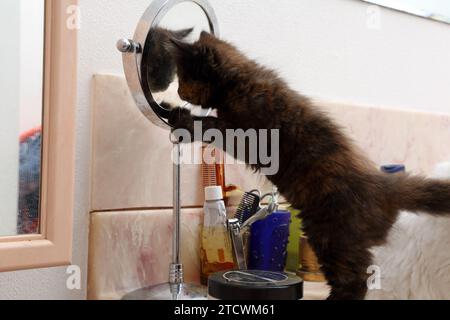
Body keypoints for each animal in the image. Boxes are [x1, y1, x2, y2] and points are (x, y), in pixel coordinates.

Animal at [165, 31, 450, 298]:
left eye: (184, 77)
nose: (177, 92)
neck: (238, 81)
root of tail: (382, 185)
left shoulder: (243, 132)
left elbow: (209, 125)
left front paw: (181, 118)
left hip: (332, 235)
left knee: (356, 279)